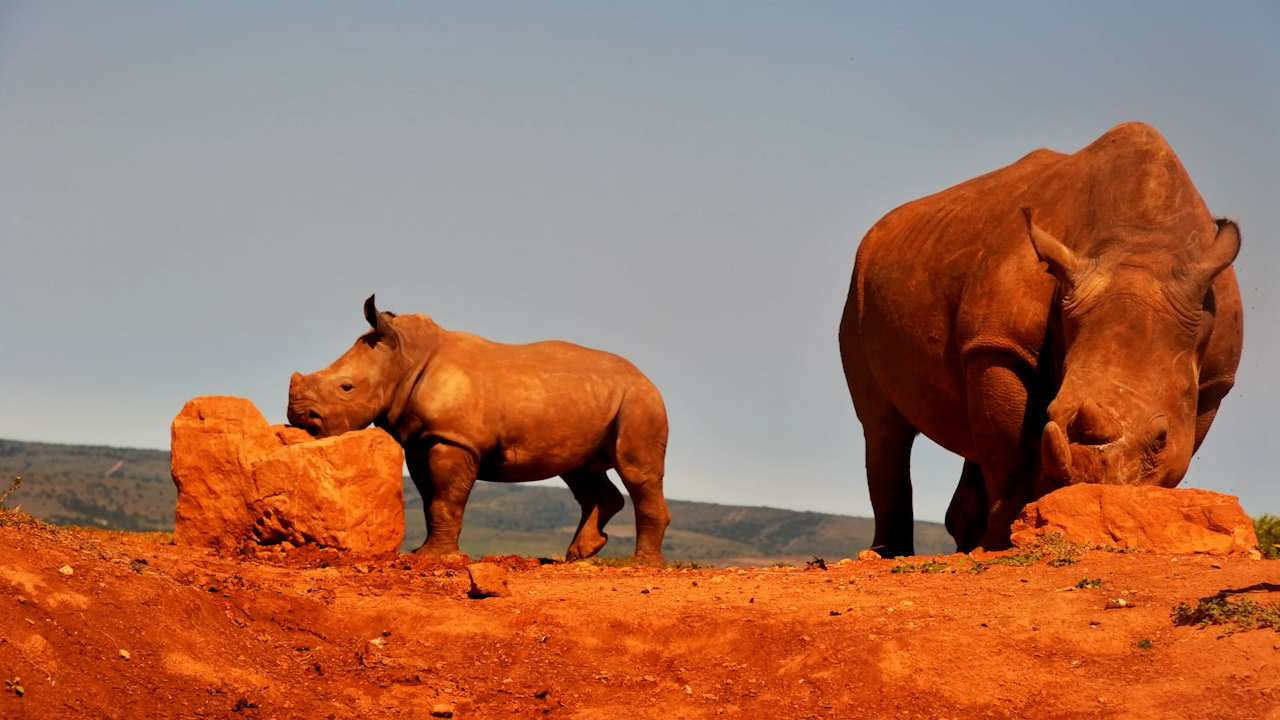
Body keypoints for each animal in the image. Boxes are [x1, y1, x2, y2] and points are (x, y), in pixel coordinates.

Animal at [287, 297, 671, 563]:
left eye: (347, 387)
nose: (301, 418)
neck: (405, 357)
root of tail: (645, 376)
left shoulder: (454, 438)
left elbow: (445, 498)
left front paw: (435, 557)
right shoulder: (420, 441)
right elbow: (430, 500)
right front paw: (425, 553)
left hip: (639, 400)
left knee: (637, 472)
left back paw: (642, 564)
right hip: (591, 400)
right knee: (580, 472)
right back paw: (579, 554)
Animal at [838, 122, 1243, 556]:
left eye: (1160, 439)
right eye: (1052, 414)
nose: (1092, 495)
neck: (1143, 243)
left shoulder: (1215, 380)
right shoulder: (1000, 343)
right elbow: (1012, 458)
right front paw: (1001, 545)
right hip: (859, 287)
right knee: (883, 424)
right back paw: (891, 553)